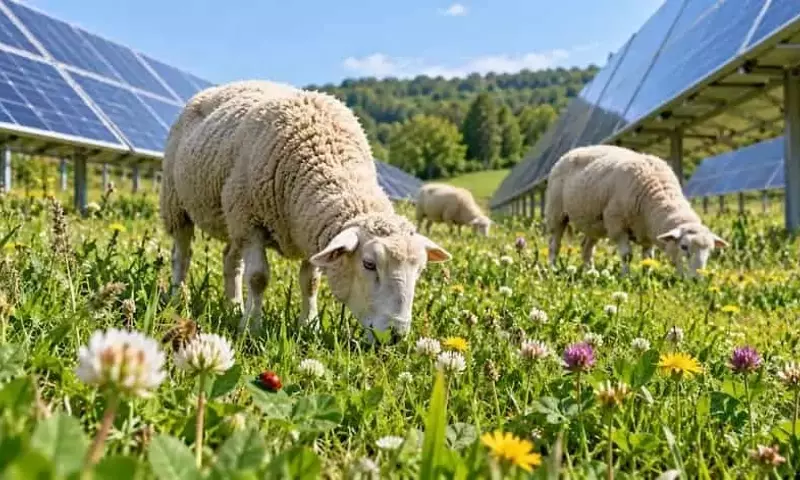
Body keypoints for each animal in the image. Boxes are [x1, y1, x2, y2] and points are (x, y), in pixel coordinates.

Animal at [159, 80, 451, 340]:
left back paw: (233, 306)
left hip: (232, 218)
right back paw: (177, 296)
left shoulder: (310, 231)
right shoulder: (252, 221)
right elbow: (258, 278)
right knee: (182, 255)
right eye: (369, 264)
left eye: (420, 270)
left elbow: (310, 282)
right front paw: (252, 327)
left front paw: (309, 326)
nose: (396, 335)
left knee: (231, 260)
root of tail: (211, 91)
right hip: (178, 202)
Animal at [544, 144, 727, 277]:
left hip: (593, 223)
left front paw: (646, 276)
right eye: (683, 246)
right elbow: (627, 255)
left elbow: (648, 258)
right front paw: (626, 277)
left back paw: (590, 271)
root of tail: (571, 151)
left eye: (710, 251)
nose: (697, 280)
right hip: (556, 212)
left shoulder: (647, 232)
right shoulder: (617, 224)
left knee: (586, 248)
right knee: (554, 245)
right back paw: (552, 269)